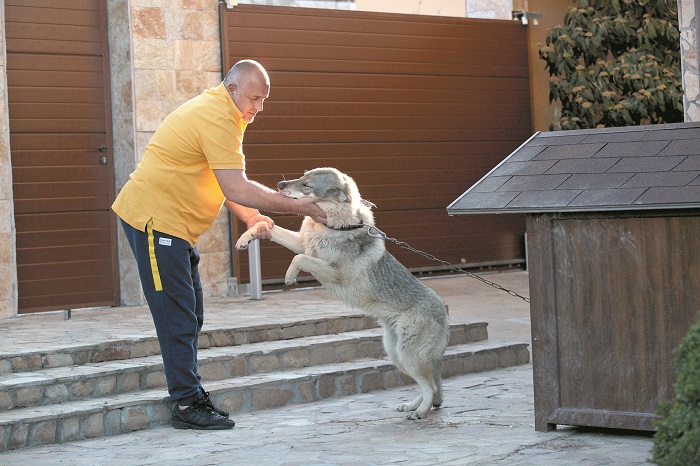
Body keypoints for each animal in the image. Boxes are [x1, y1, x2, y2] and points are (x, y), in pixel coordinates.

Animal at [238, 167, 452, 418]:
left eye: (307, 185)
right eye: (302, 176)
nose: (280, 185)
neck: (333, 226)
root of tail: (444, 310)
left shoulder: (332, 270)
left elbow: (297, 258)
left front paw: (290, 277)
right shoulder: (303, 243)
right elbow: (269, 230)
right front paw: (245, 239)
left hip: (408, 356)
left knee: (431, 387)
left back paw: (420, 412)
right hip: (396, 354)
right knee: (430, 386)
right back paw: (411, 406)